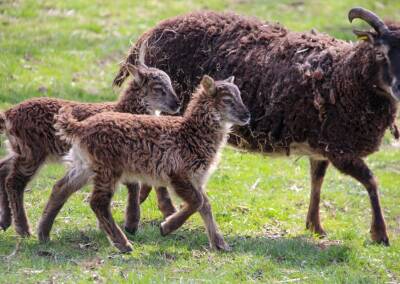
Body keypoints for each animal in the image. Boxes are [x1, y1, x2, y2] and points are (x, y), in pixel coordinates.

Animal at [0, 63, 180, 239]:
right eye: (158, 88)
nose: (177, 104)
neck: (126, 108)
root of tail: (9, 113)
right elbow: (133, 185)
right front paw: (131, 224)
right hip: (31, 152)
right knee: (14, 182)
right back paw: (23, 229)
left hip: (19, 148)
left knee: (3, 168)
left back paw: (6, 221)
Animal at [53, 74, 250, 252]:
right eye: (227, 100)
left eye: (240, 96)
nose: (247, 115)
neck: (190, 134)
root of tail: (80, 128)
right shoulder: (178, 174)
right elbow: (198, 202)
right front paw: (166, 228)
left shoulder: (197, 178)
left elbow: (206, 205)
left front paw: (220, 244)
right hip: (107, 168)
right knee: (98, 203)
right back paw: (123, 244)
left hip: (86, 165)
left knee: (62, 188)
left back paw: (46, 233)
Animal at [112, 7, 400, 245]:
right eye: (380, 52)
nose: (398, 88)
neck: (345, 75)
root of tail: (151, 33)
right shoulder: (340, 149)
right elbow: (371, 181)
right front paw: (380, 234)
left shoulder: (323, 144)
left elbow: (317, 181)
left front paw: (315, 226)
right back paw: (163, 209)